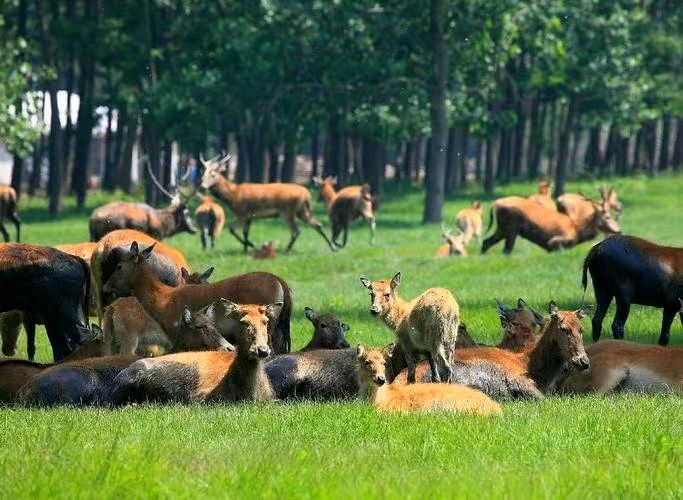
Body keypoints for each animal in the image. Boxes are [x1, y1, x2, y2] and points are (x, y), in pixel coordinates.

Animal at [102, 241, 293, 354]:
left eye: (119, 266)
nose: (106, 287)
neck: (163, 301)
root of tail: (281, 283)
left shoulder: (176, 334)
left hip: (266, 328)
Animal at [200, 154, 335, 253]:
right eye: (203, 175)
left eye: (213, 174)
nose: (202, 186)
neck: (233, 196)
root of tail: (307, 193)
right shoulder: (249, 216)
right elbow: (244, 232)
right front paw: (246, 248)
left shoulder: (243, 213)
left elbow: (232, 229)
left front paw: (250, 245)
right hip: (301, 210)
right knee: (317, 225)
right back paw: (332, 247)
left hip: (287, 211)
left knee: (296, 231)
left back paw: (287, 250)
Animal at [481, 196, 620, 254]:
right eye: (607, 216)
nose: (618, 230)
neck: (577, 230)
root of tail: (495, 204)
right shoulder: (558, 239)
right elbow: (554, 245)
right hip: (511, 226)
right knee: (507, 249)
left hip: (502, 227)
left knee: (486, 241)